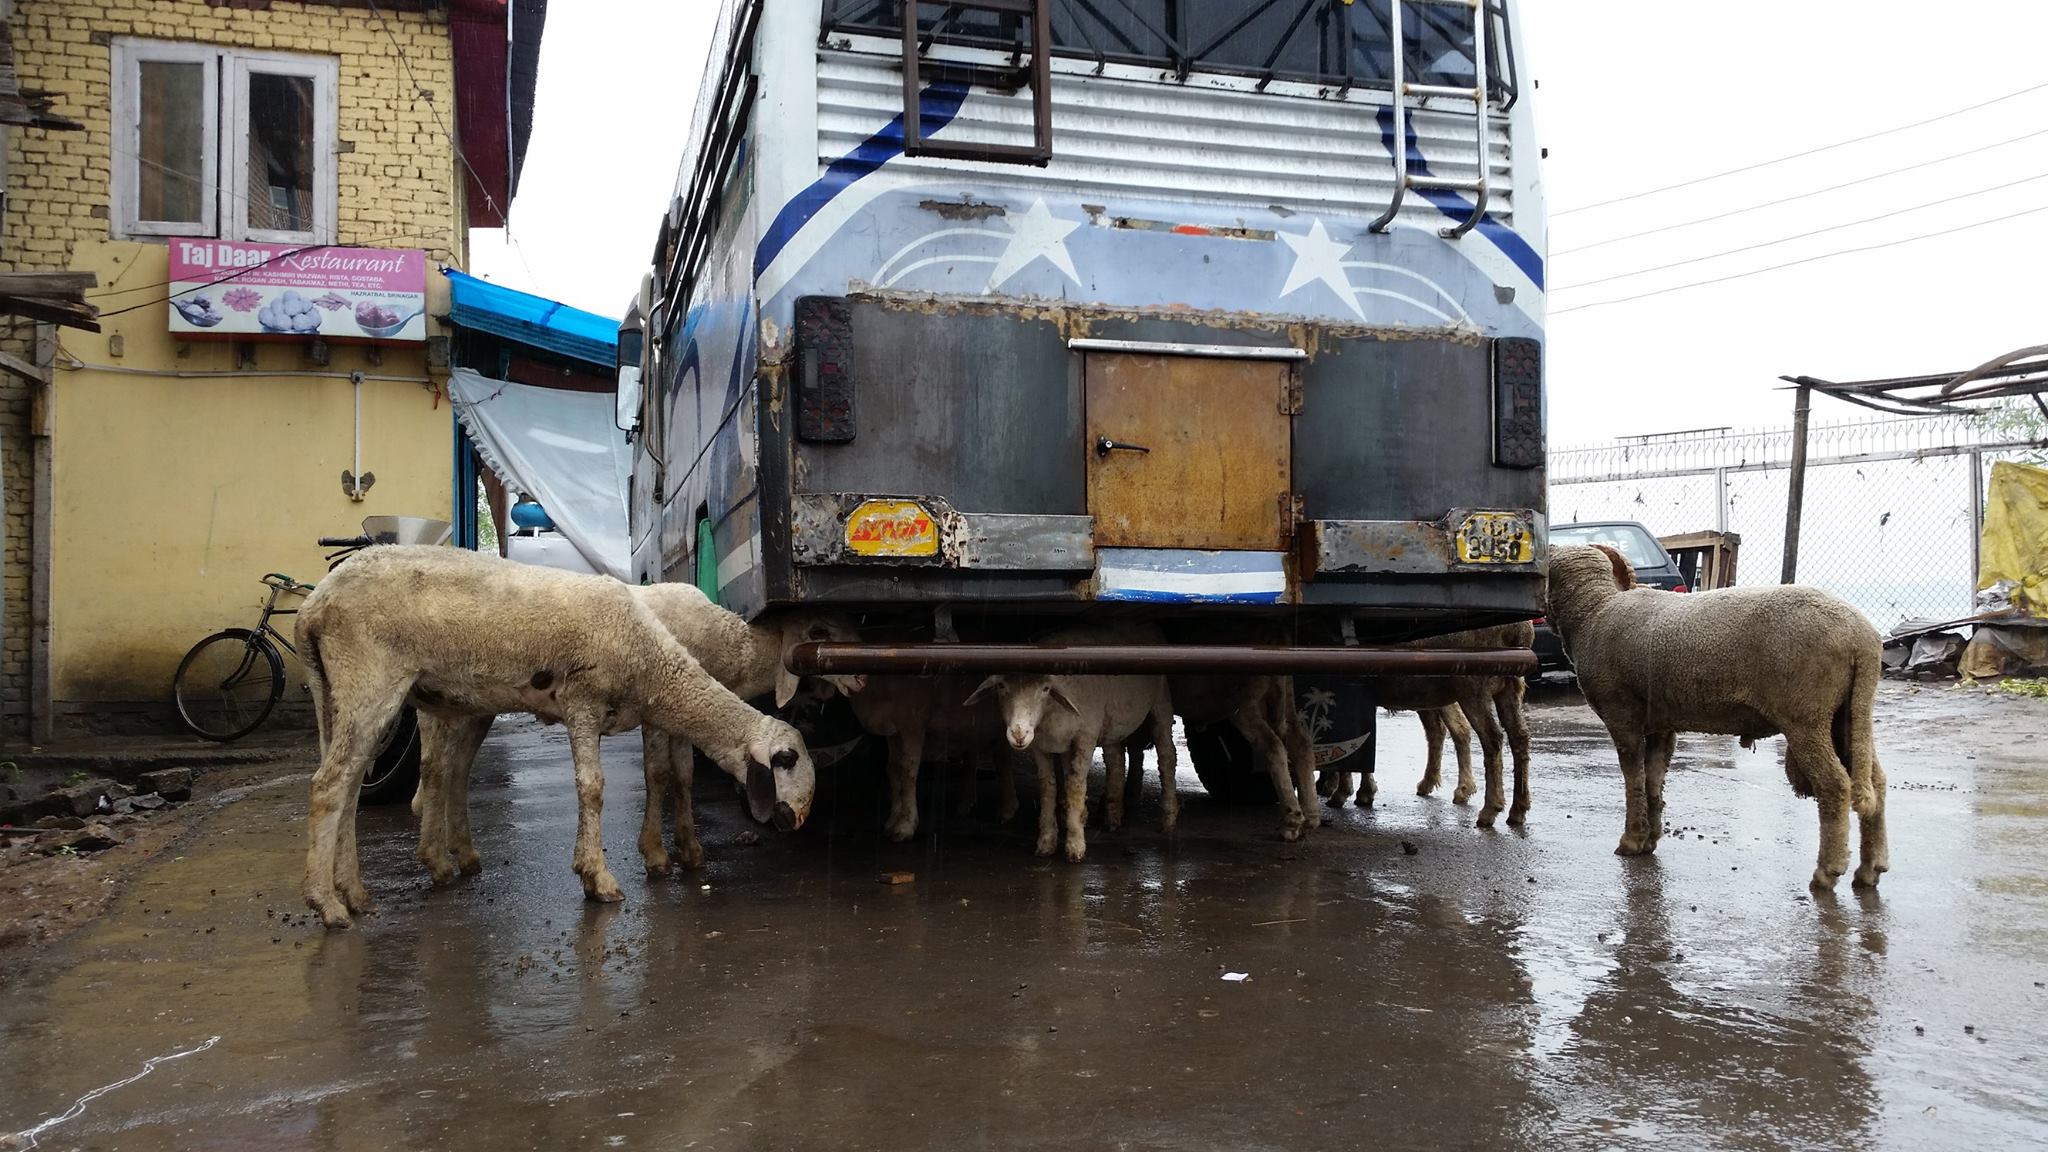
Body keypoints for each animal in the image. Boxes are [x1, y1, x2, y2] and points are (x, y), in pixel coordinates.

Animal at [299, 541, 811, 926]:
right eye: (787, 760)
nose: (794, 822)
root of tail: (313, 606)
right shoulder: (582, 700)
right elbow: (601, 786)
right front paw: (603, 877)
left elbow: (671, 776)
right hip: (371, 675)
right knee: (336, 784)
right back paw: (328, 904)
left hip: (346, 693)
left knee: (364, 782)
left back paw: (361, 891)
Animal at [411, 582, 860, 877]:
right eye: (820, 632)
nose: (860, 678)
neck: (735, 648)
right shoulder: (657, 709)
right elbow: (658, 774)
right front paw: (657, 854)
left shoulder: (678, 715)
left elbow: (684, 774)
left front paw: (689, 848)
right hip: (442, 707)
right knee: (435, 769)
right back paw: (438, 858)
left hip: (475, 709)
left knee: (458, 770)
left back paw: (463, 852)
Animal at [847, 668, 1015, 840]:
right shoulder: (894, 731)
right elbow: (893, 769)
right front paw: (893, 820)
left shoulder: (913, 724)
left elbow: (907, 772)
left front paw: (905, 825)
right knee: (974, 758)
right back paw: (966, 805)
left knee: (1002, 760)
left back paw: (1007, 810)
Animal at [1163, 668, 1318, 840]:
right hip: (1284, 696)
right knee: (1301, 743)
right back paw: (1311, 816)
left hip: (1243, 701)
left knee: (1274, 746)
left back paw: (1291, 821)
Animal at [1540, 541, 1892, 881]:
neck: (1593, 613)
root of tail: (1862, 639)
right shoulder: (1661, 722)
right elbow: (1654, 778)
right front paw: (1650, 839)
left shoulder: (1621, 714)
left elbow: (1633, 778)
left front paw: (1632, 841)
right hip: (1848, 713)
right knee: (1876, 781)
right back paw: (1870, 868)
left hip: (1806, 714)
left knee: (1834, 784)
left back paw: (1827, 871)